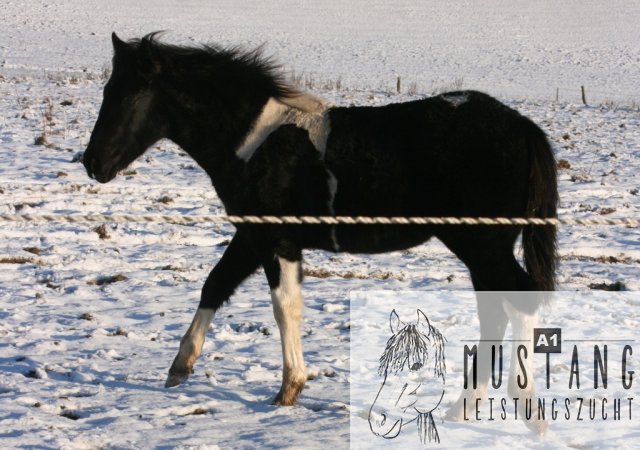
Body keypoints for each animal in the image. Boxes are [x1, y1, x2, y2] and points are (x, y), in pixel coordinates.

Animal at [82, 33, 556, 414]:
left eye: (128, 96)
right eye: (108, 90)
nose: (92, 163)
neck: (256, 141)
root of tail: (524, 127)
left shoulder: (276, 241)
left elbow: (284, 306)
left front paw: (288, 389)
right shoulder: (252, 237)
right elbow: (215, 285)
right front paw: (180, 367)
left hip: (481, 245)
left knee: (515, 302)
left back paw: (508, 405)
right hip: (483, 250)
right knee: (502, 308)